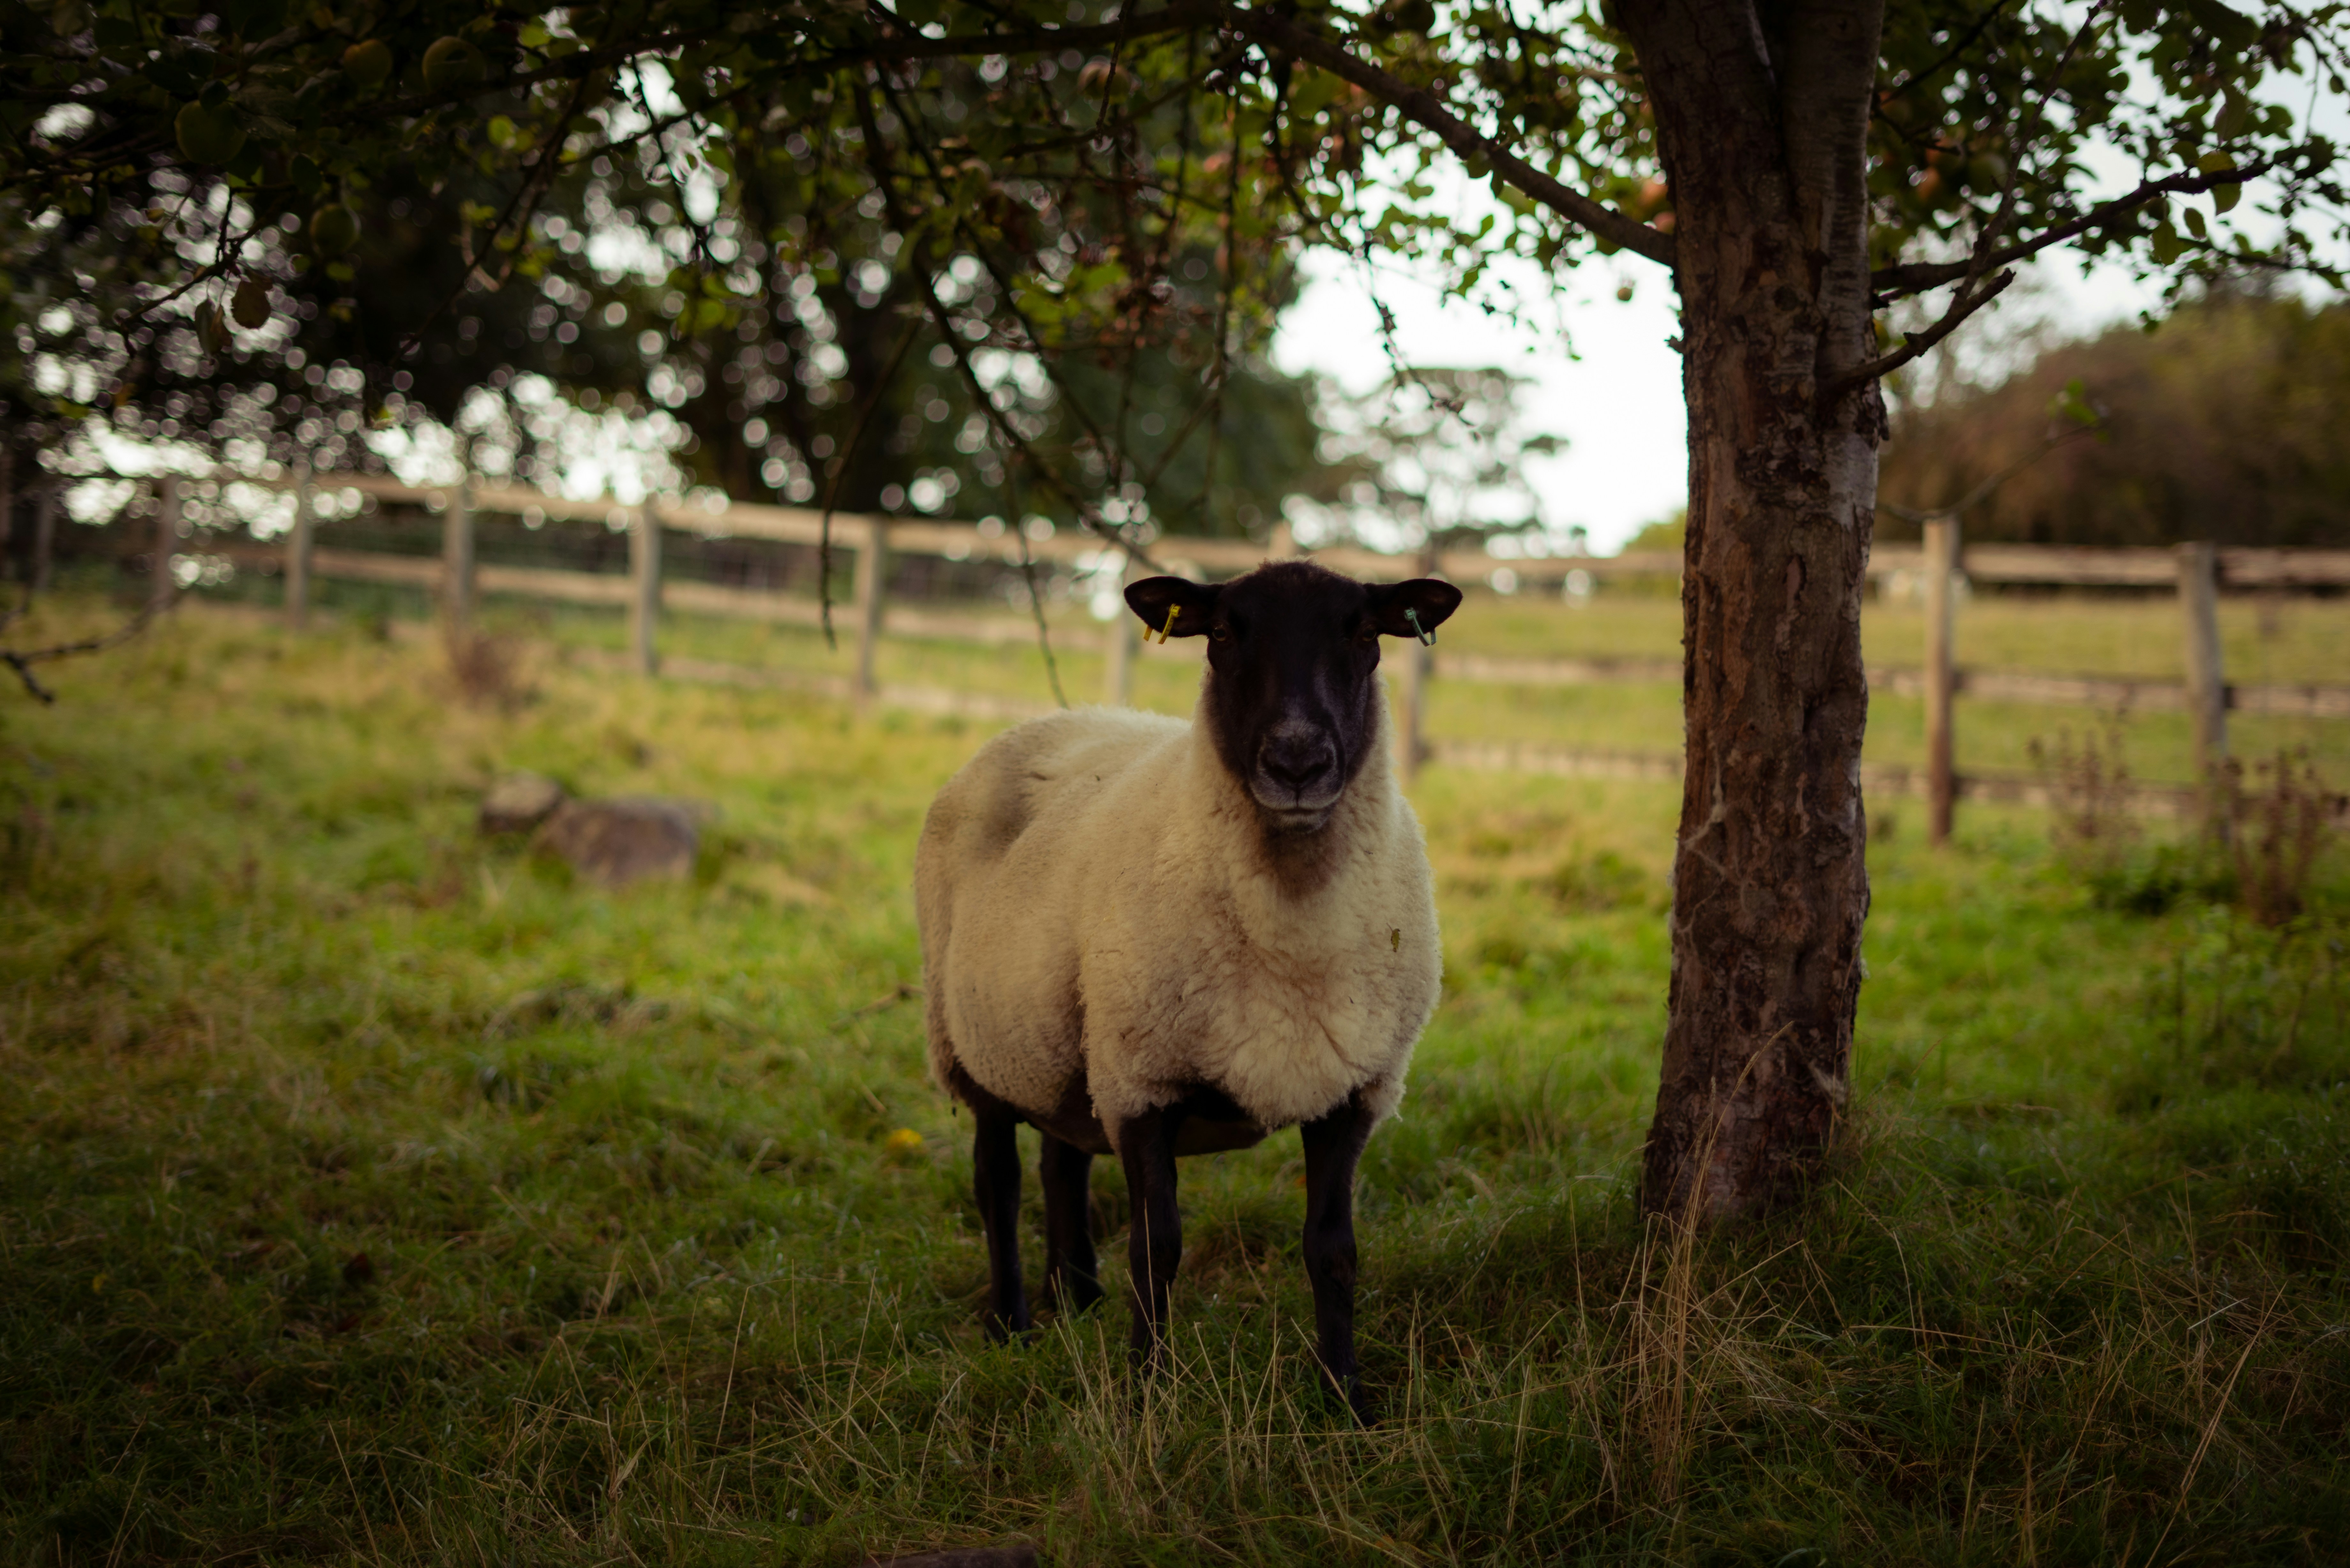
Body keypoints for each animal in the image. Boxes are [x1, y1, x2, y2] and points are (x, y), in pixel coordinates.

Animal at [914, 559, 1462, 1415]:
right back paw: (1012, 1324)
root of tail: (1045, 719)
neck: (1290, 932)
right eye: (1226, 633)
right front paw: (1148, 1392)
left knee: (1061, 1161)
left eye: (1364, 634)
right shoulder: (1143, 1081)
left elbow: (1332, 1249)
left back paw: (1078, 1299)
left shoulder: (1353, 1088)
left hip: (1064, 1039)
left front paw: (1344, 1396)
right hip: (974, 1040)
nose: (1297, 764)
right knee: (996, 1180)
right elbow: (1157, 1247)